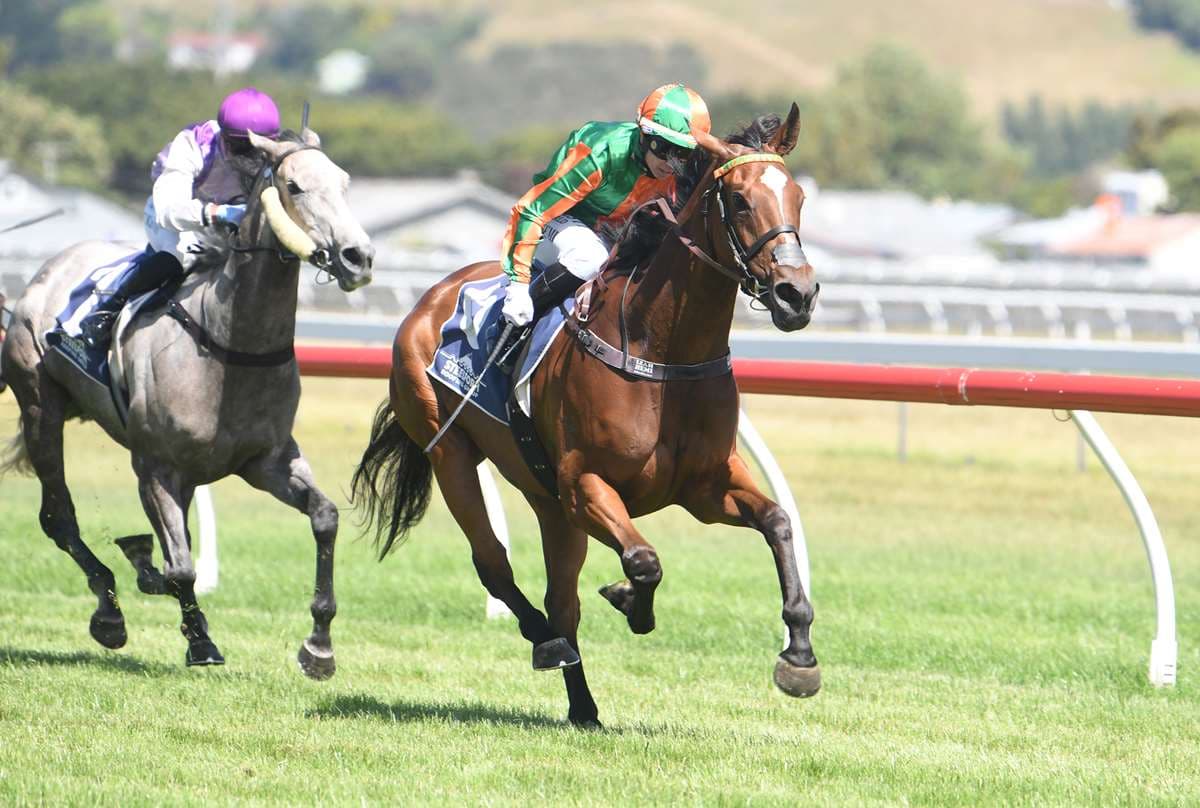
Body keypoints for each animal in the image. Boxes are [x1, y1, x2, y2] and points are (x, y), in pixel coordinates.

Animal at [0, 129, 374, 676]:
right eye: (294, 186)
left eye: (344, 183)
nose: (357, 257)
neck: (231, 344)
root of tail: (44, 273)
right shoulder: (155, 467)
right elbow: (181, 567)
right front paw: (200, 642)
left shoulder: (268, 461)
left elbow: (324, 517)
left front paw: (319, 646)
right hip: (39, 407)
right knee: (58, 517)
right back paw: (109, 609)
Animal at [354, 106, 818, 726]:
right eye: (739, 200)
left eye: (798, 197)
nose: (797, 293)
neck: (662, 350)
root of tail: (429, 299)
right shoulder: (585, 485)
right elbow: (644, 560)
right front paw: (630, 601)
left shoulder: (705, 485)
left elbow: (779, 523)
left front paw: (799, 656)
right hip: (451, 453)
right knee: (496, 564)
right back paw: (545, 640)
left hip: (546, 498)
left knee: (561, 598)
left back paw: (583, 707)